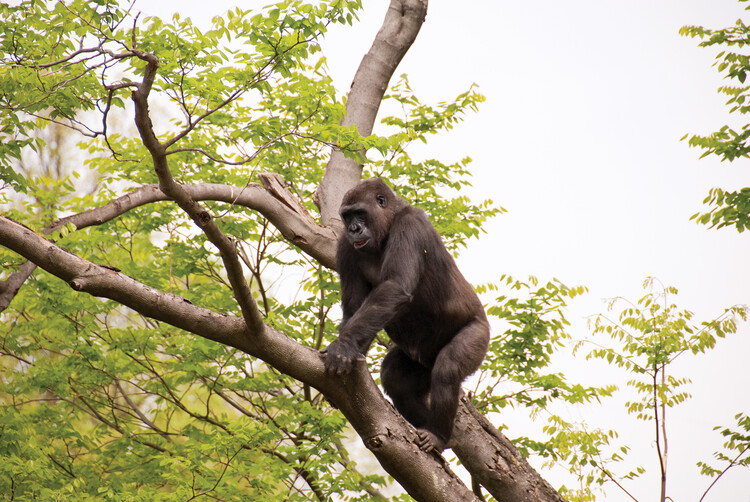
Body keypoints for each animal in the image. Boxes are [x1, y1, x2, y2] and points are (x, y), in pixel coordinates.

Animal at [324, 178, 494, 452]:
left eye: (360, 213)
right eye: (347, 216)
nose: (353, 229)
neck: (389, 220)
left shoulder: (410, 225)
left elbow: (395, 286)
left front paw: (342, 346)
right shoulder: (344, 246)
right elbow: (354, 308)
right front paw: (350, 349)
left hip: (479, 333)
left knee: (447, 369)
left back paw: (438, 435)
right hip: (422, 360)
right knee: (396, 380)